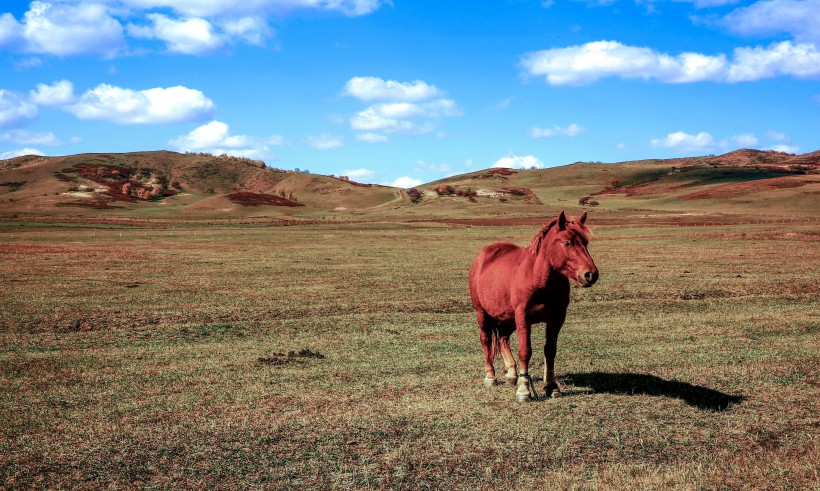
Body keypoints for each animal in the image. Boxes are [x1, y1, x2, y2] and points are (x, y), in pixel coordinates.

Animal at [470, 211, 600, 404]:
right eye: (567, 243)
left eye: (586, 243)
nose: (591, 274)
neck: (538, 278)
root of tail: (483, 255)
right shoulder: (523, 317)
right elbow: (525, 351)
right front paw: (524, 390)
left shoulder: (557, 318)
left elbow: (550, 350)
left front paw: (551, 386)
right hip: (483, 314)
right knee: (486, 340)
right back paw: (490, 377)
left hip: (508, 317)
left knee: (503, 338)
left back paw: (512, 374)